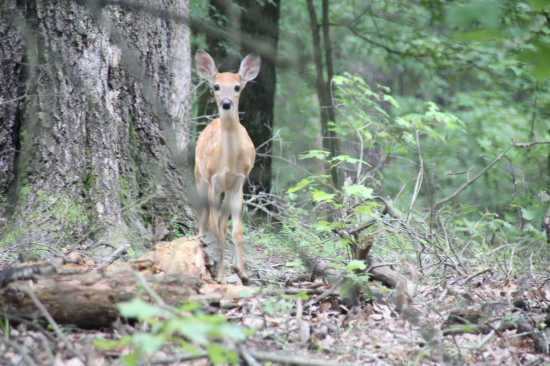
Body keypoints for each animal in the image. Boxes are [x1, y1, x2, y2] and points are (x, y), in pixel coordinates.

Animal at [195, 49, 262, 284]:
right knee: (204, 221)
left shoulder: (240, 181)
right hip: (200, 178)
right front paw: (221, 276)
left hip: (226, 189)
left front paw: (242, 273)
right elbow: (215, 229)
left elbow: (236, 231)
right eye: (215, 86)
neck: (229, 162)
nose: (225, 103)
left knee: (223, 223)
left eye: (237, 87)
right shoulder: (214, 180)